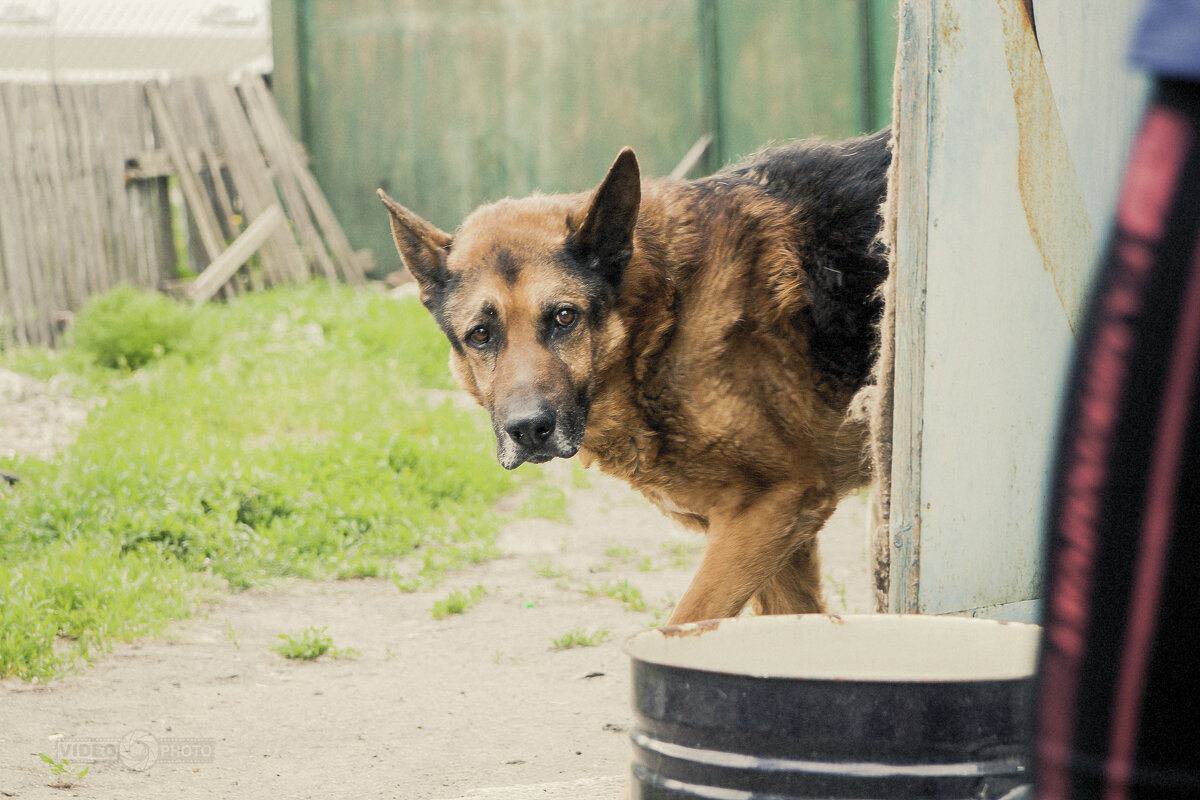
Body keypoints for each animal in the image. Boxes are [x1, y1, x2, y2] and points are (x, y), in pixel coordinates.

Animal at [379, 131, 888, 628]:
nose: (528, 430)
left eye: (564, 317)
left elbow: (685, 620)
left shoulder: (777, 506)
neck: (662, 320)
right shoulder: (777, 532)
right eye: (481, 335)